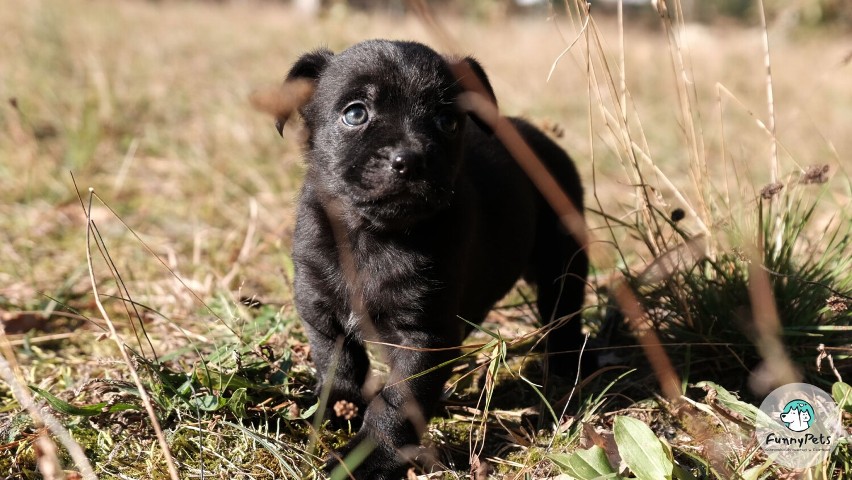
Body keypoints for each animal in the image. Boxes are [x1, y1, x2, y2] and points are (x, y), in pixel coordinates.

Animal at [280, 40, 584, 480]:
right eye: (355, 113)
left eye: (447, 121)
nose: (410, 159)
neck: (372, 236)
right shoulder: (321, 311)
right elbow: (338, 365)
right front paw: (335, 410)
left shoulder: (424, 338)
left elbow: (396, 404)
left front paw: (364, 458)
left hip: (563, 260)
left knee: (564, 310)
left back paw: (566, 367)